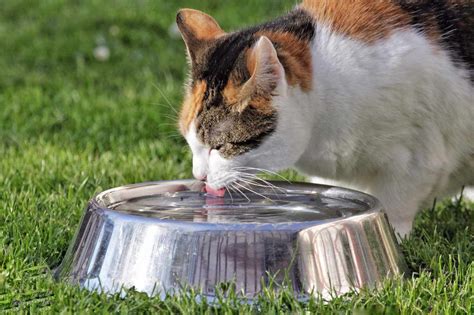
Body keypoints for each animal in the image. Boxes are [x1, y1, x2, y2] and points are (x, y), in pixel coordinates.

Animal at [175, 0, 474, 237]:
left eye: (221, 146)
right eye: (191, 143)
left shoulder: (417, 158)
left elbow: (395, 205)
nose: (199, 176)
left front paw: (394, 236)